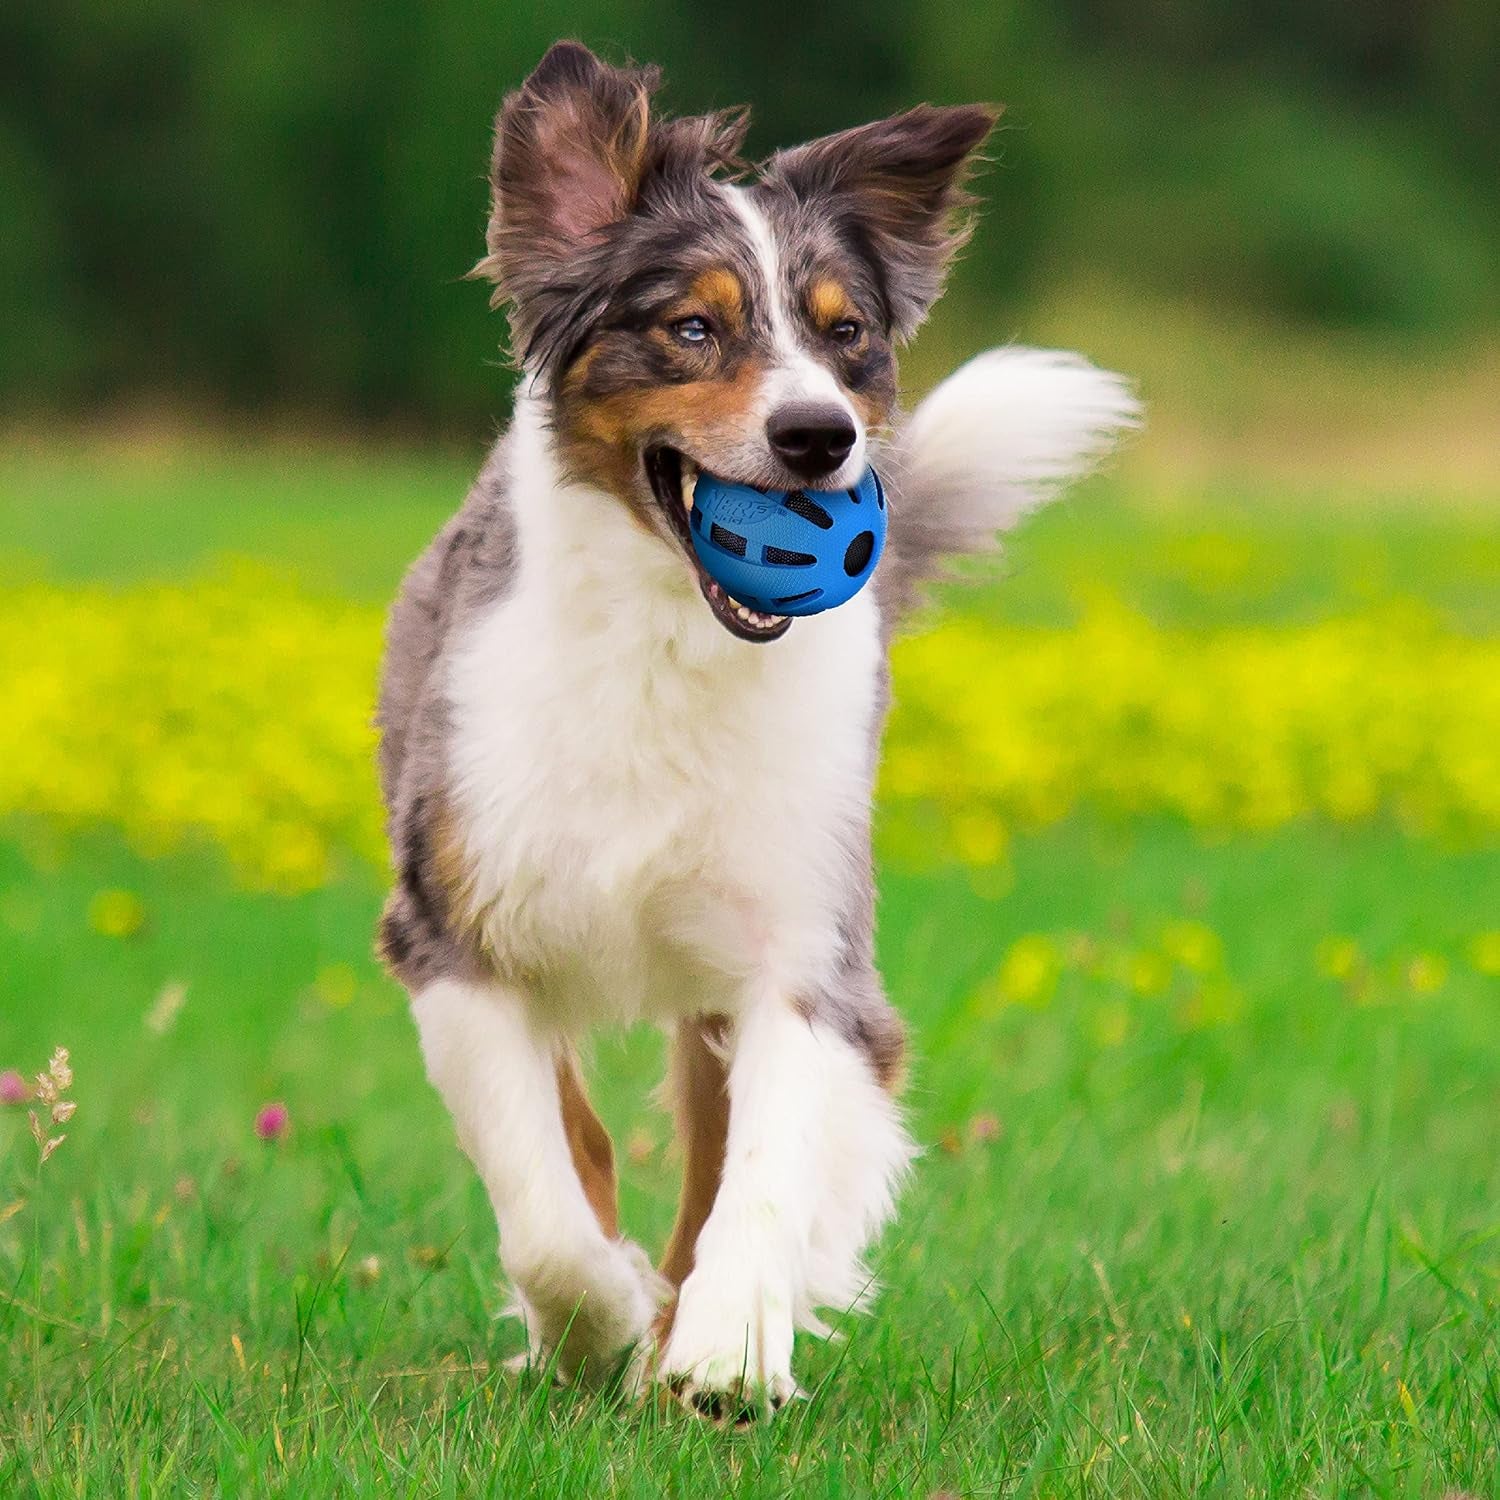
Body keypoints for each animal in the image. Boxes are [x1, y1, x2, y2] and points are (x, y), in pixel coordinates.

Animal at [378, 38, 1134, 1416]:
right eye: (691, 327)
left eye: (845, 338)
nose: (818, 437)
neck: (673, 644)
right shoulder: (455, 932)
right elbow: (546, 1203)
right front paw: (602, 1325)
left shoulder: (805, 952)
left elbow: (763, 1172)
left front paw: (727, 1348)